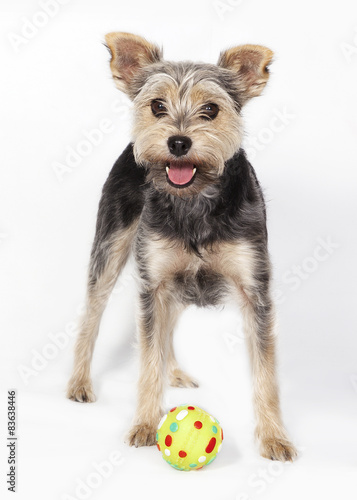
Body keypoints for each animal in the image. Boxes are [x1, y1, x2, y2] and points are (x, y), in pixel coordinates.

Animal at [67, 31, 294, 460]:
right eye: (157, 106)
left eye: (211, 109)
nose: (177, 141)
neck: (195, 200)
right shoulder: (153, 283)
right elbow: (146, 360)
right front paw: (143, 423)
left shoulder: (254, 289)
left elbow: (266, 372)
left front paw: (275, 437)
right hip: (112, 245)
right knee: (92, 315)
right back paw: (79, 382)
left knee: (166, 328)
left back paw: (172, 371)